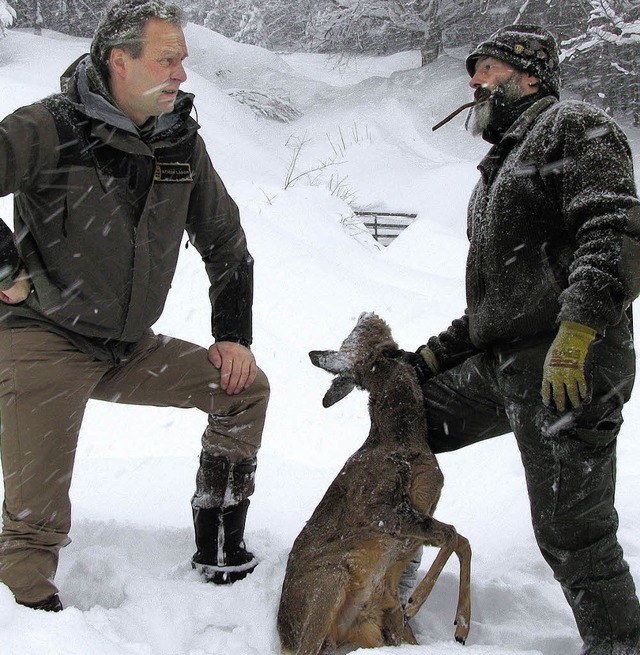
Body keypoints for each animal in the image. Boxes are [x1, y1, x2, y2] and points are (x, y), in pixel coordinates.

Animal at [278, 312, 472, 655]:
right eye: (355, 336)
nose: (366, 314)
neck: (403, 440)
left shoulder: (422, 510)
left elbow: (461, 540)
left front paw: (462, 627)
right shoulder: (379, 507)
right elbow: (451, 534)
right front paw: (416, 602)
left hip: (378, 621)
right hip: (328, 581)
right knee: (307, 648)